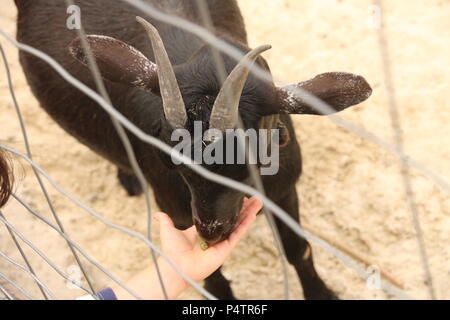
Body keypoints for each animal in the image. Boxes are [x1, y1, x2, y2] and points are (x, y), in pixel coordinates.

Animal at [14, 0, 372, 300]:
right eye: (172, 161)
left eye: (252, 162)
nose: (211, 232)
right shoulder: (174, 207)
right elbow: (208, 274)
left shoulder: (284, 189)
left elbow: (298, 248)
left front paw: (323, 294)